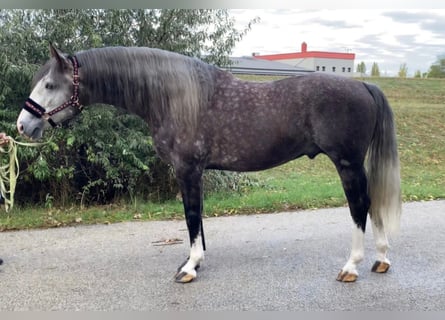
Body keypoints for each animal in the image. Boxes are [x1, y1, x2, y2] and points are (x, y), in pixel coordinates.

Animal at [17, 44, 400, 282]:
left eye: (49, 84)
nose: (23, 125)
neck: (173, 97)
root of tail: (364, 86)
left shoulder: (187, 170)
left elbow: (191, 216)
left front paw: (190, 267)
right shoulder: (194, 172)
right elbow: (197, 218)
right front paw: (193, 261)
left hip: (348, 164)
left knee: (359, 206)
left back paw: (351, 266)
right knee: (372, 205)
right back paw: (381, 260)